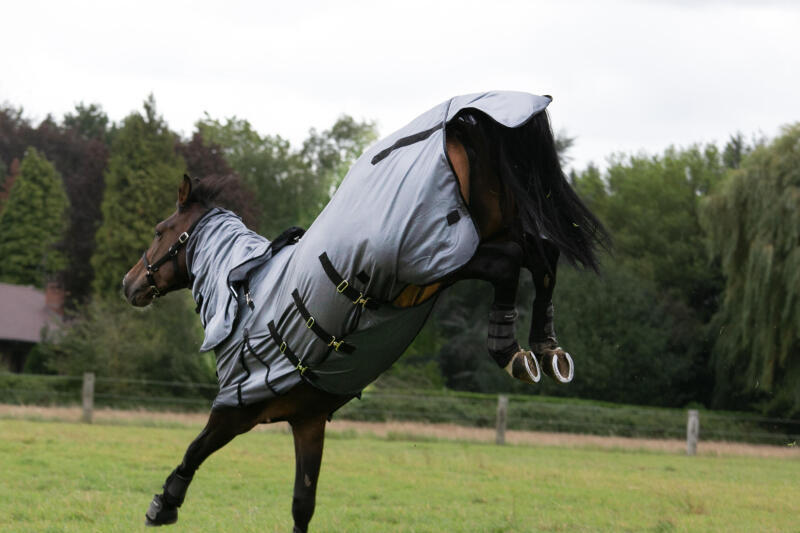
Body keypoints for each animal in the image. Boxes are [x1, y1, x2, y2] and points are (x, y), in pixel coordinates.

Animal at [123, 92, 608, 532]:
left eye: (160, 231)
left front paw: (163, 504)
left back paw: (510, 350)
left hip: (445, 259)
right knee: (541, 255)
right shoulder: (308, 421)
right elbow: (302, 504)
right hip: (493, 227)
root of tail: (458, 122)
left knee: (512, 263)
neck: (245, 290)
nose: (129, 284)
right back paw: (546, 349)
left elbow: (194, 449)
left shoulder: (236, 409)